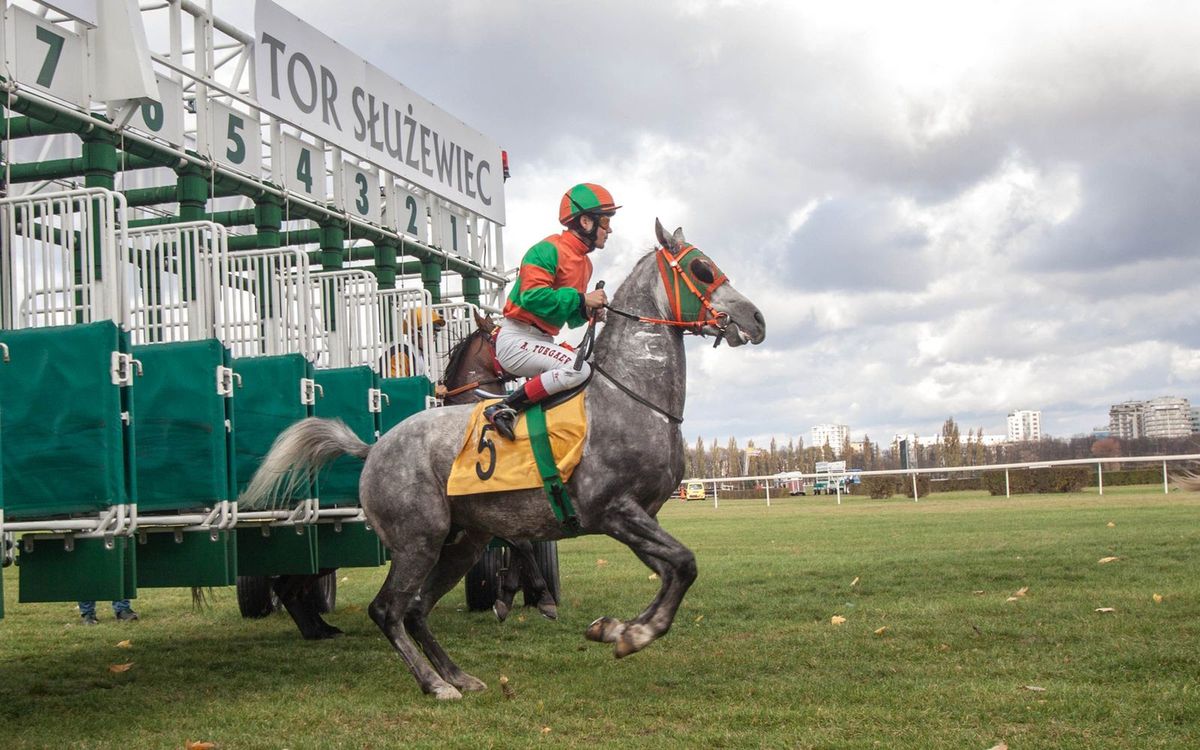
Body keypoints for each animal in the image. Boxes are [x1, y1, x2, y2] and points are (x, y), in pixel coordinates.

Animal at [241, 220, 768, 696]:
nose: (758, 320)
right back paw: (434, 683)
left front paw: (616, 629)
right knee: (387, 609)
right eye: (702, 268)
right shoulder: (613, 510)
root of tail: (376, 446)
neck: (631, 396)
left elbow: (673, 570)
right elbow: (684, 562)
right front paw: (630, 634)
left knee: (415, 608)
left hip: (463, 542)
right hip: (418, 540)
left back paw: (457, 675)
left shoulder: (641, 515)